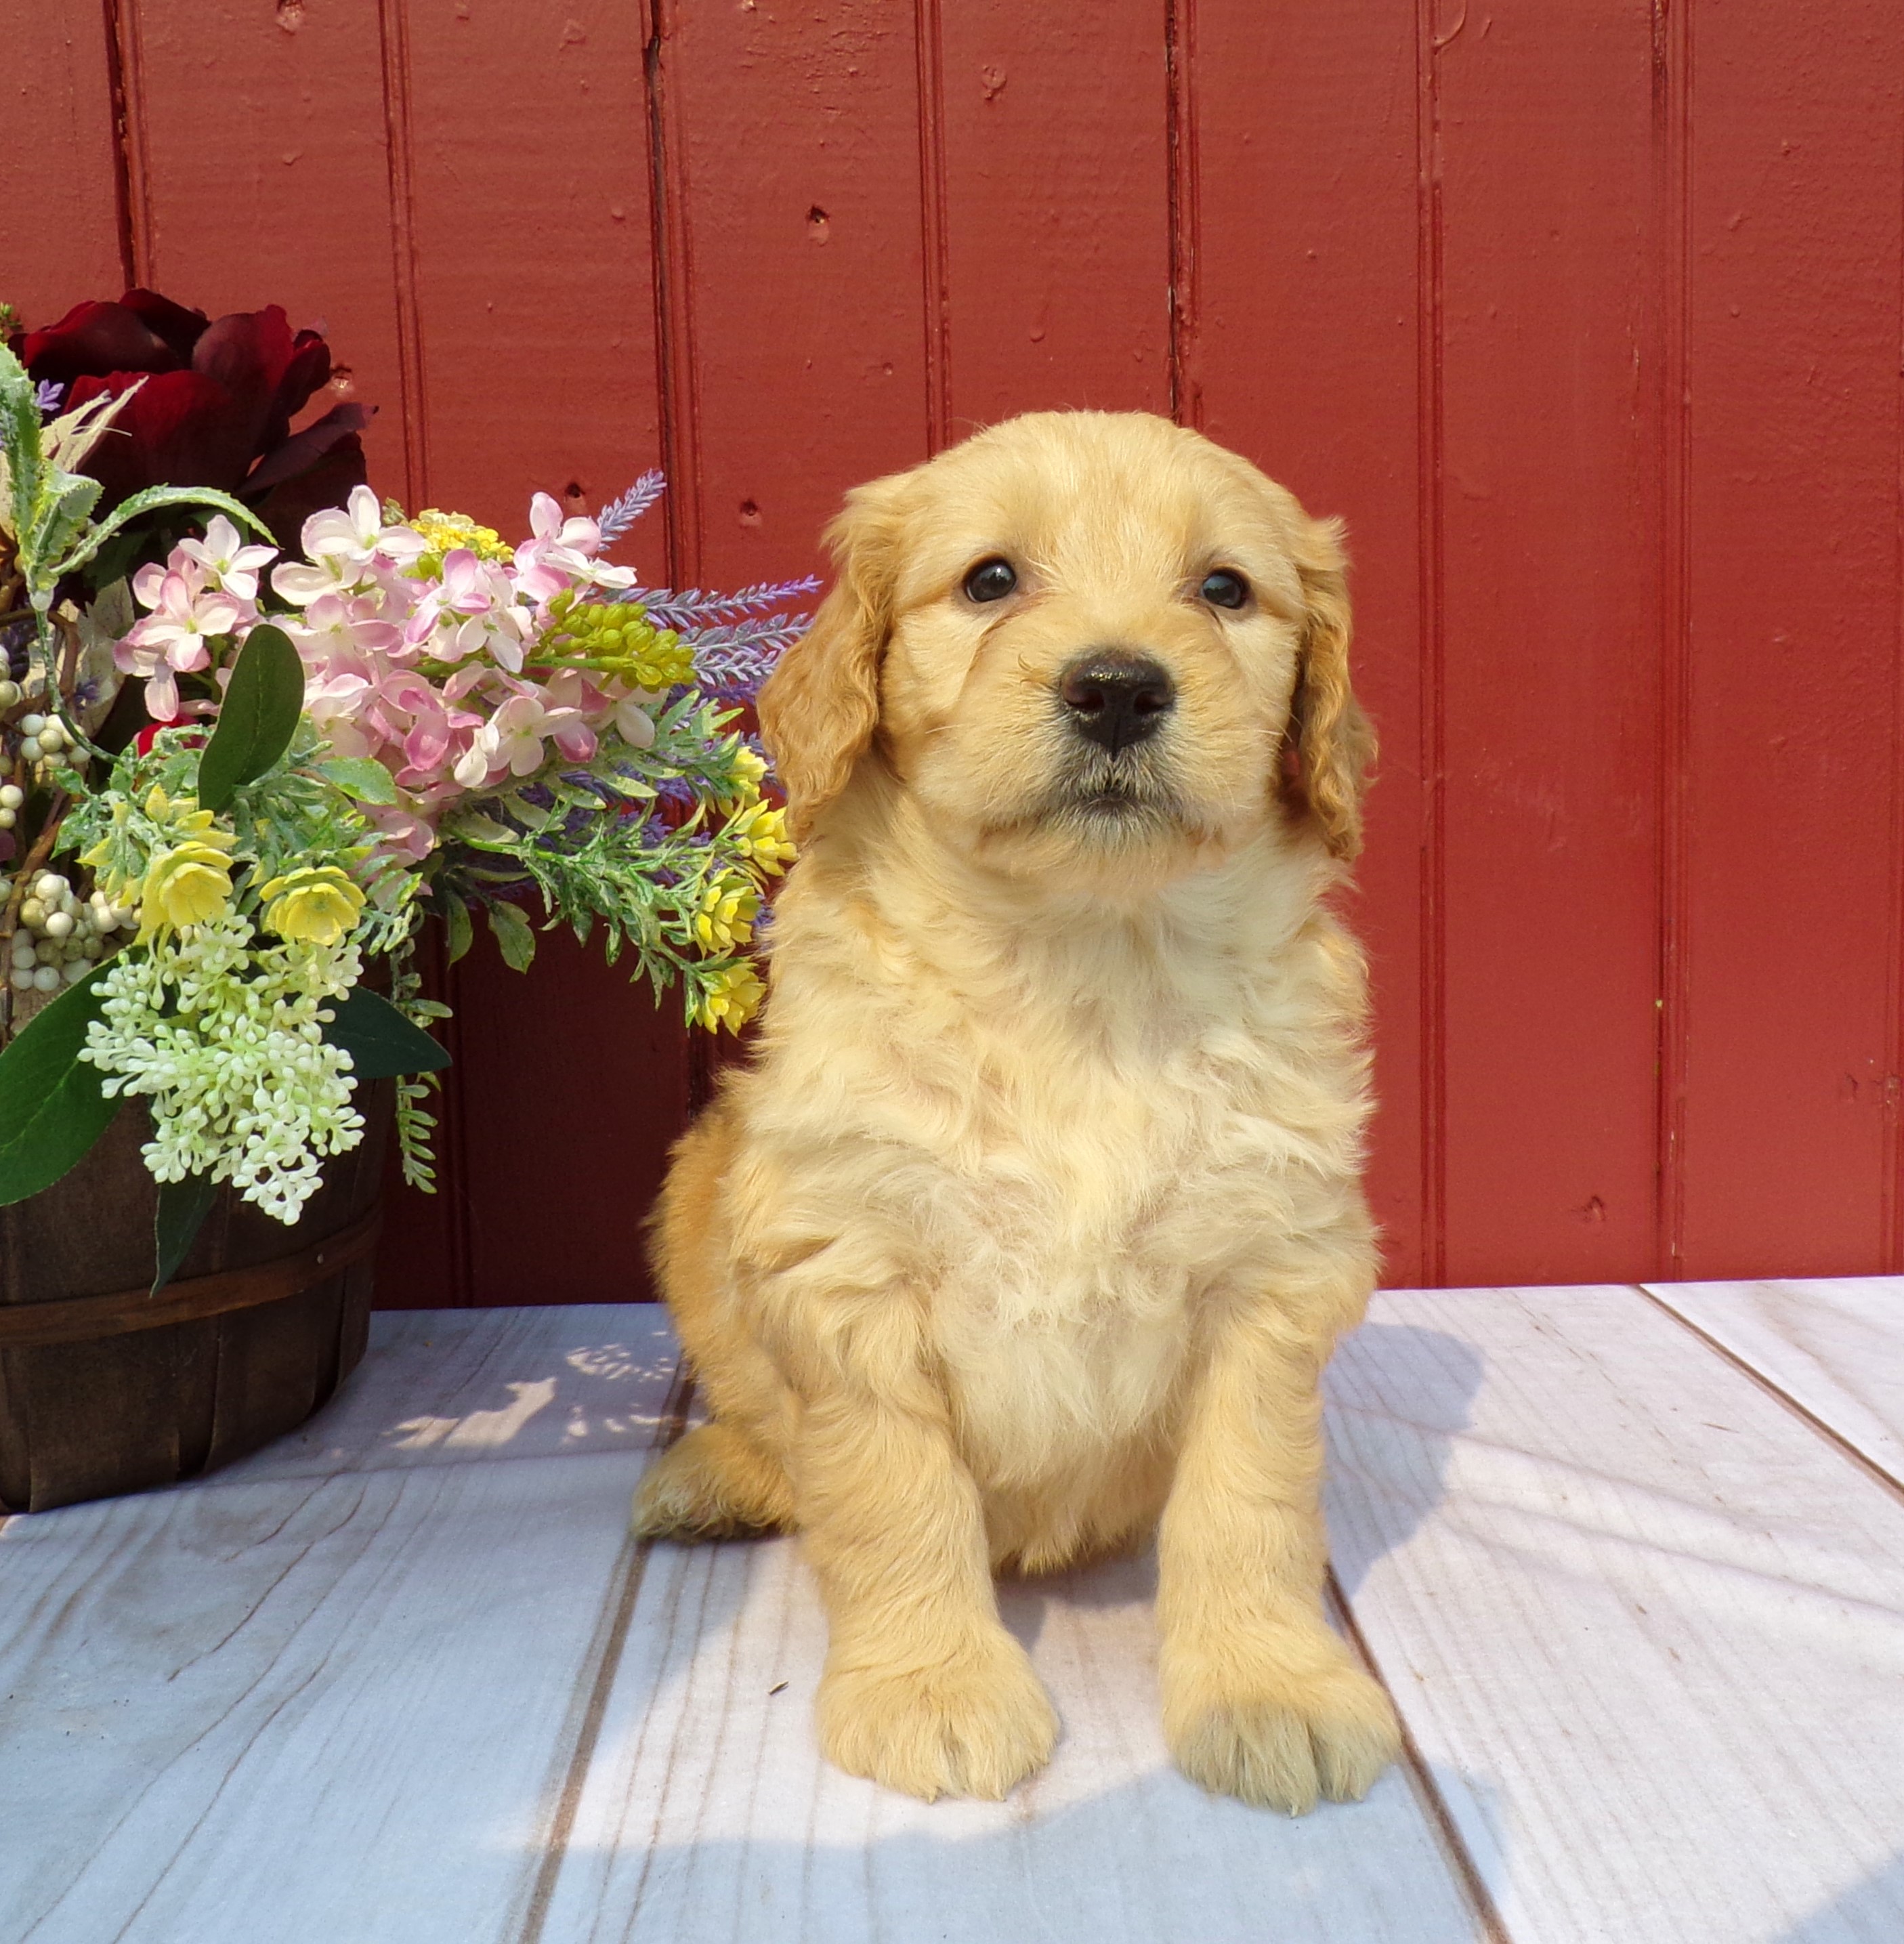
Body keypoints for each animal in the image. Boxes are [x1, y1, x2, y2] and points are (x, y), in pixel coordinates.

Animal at [637, 402, 1400, 1811]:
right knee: (765, 1424)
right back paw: (717, 1475)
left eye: (1224, 590)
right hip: (697, 1187)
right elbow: (894, 1499)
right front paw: (932, 1689)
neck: (1079, 961)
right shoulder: (848, 1264)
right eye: (990, 580)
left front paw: (1269, 1687)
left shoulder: (1268, 1271)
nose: (1117, 688)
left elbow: (1248, 1508)